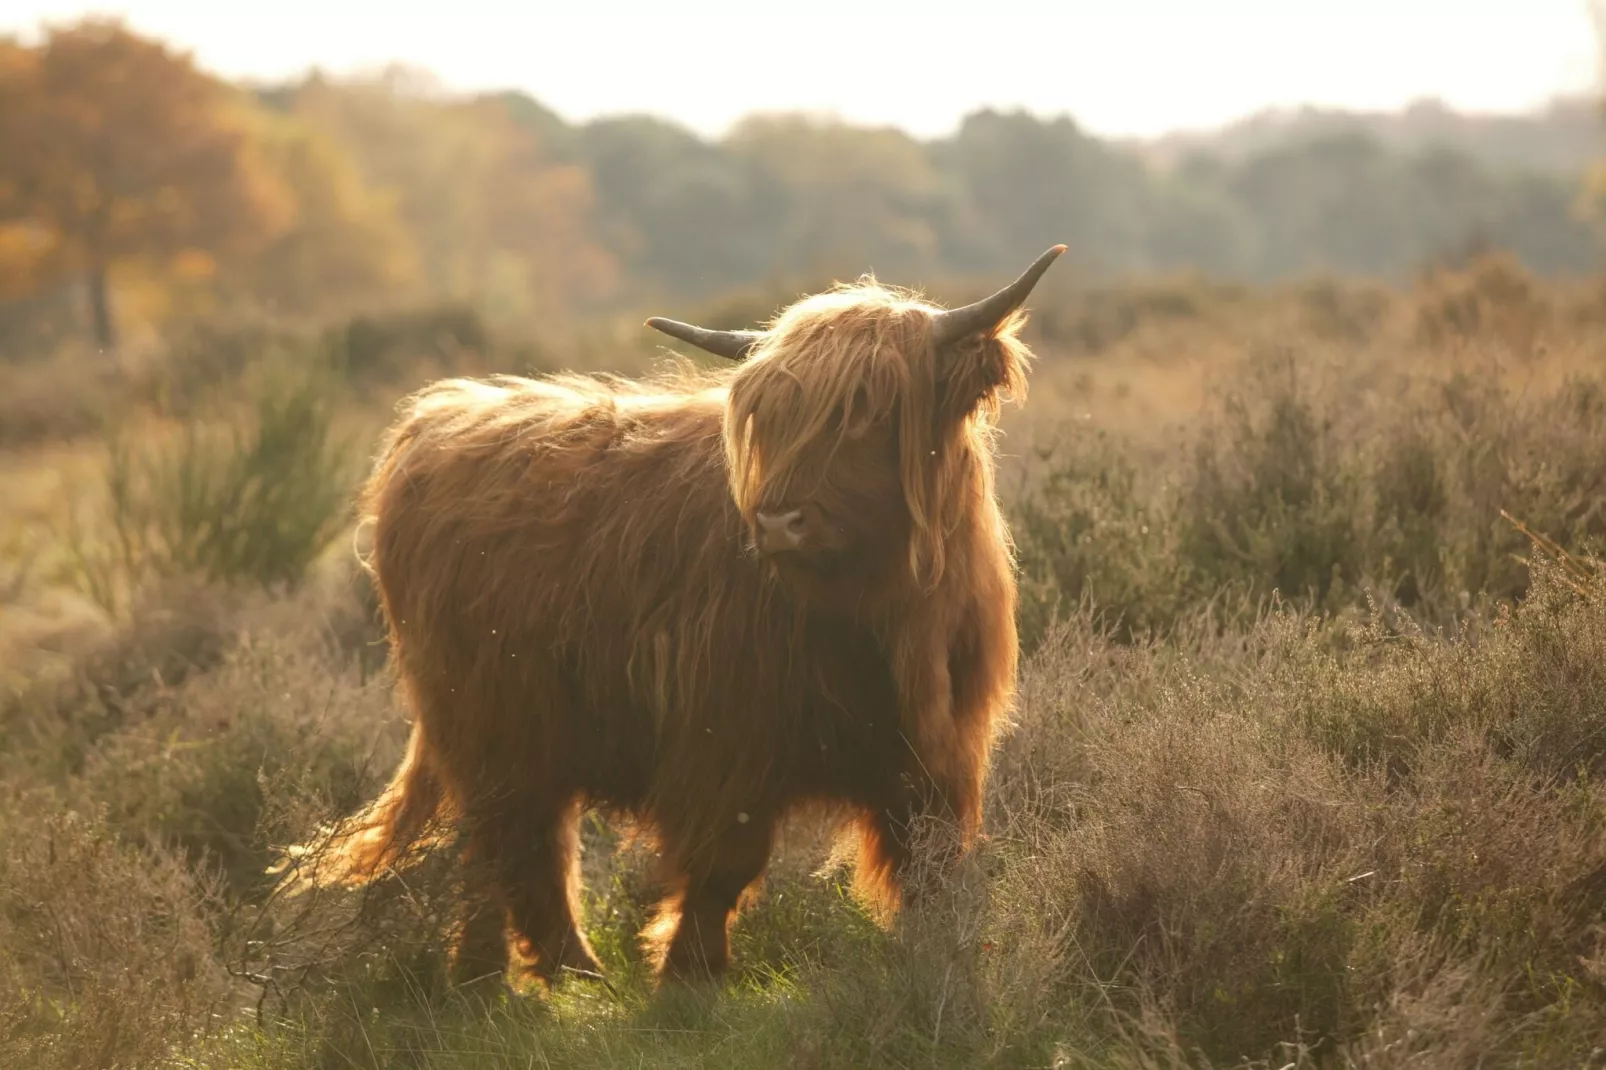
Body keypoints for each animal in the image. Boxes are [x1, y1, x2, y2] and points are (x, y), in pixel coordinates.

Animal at [276, 245, 1066, 989]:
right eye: (769, 419)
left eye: (871, 411)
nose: (777, 521)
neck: (876, 616)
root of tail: (436, 418)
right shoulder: (727, 738)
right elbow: (723, 866)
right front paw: (689, 977)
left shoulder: (940, 754)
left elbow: (933, 868)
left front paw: (943, 967)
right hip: (483, 724)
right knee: (498, 844)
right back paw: (495, 976)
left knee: (523, 842)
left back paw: (561, 971)